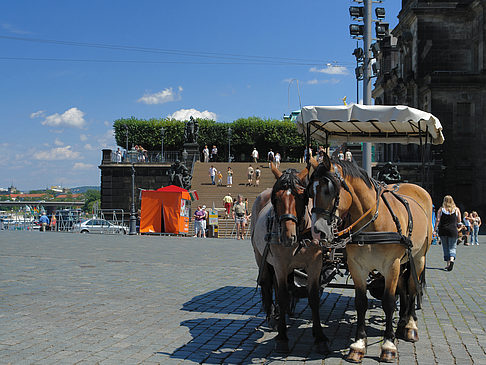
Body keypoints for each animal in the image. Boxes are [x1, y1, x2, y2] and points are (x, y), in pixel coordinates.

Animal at [251, 162, 330, 352]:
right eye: (276, 198)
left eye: (301, 197)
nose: (288, 236)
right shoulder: (280, 264)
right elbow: (281, 294)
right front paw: (282, 337)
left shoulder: (315, 264)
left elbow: (313, 297)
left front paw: (320, 337)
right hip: (260, 256)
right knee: (267, 283)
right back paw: (273, 316)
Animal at [308, 154, 432, 362]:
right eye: (311, 191)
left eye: (329, 189)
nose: (318, 232)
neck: (373, 223)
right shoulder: (358, 267)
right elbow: (361, 302)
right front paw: (358, 345)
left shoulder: (391, 266)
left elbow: (389, 302)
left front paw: (388, 345)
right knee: (404, 288)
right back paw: (402, 323)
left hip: (418, 257)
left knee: (413, 288)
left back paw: (410, 326)